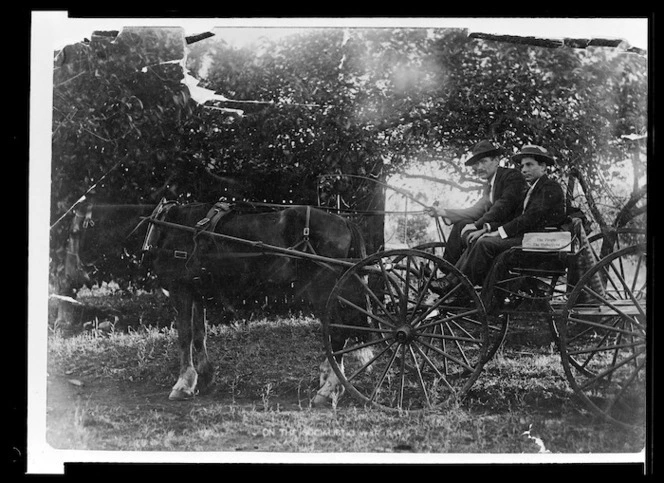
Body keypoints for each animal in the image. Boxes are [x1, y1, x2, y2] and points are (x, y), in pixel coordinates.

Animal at [142, 199, 366, 404]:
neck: (173, 226)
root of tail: (344, 221)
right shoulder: (197, 293)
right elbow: (199, 336)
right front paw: (205, 378)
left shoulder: (181, 290)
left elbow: (184, 337)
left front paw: (183, 384)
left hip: (323, 290)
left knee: (337, 333)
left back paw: (328, 390)